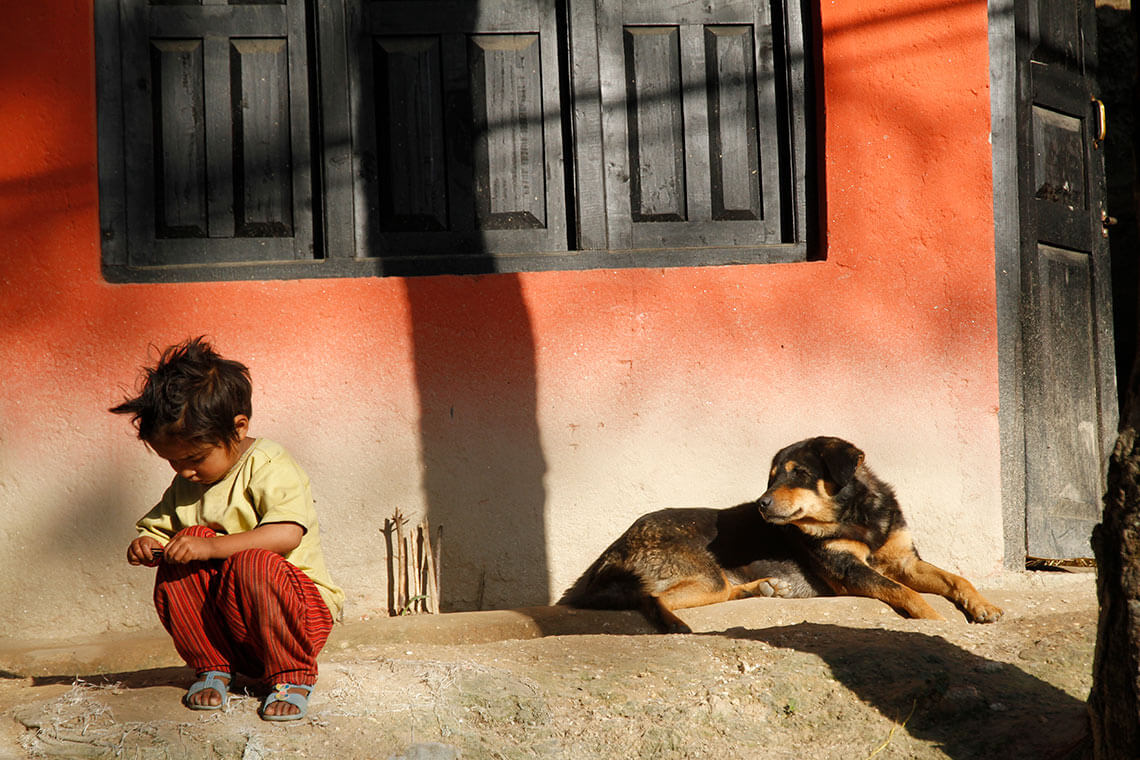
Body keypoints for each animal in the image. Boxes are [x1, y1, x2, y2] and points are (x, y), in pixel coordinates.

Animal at [556, 437, 1003, 633]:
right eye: (771, 478)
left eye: (798, 474)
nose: (761, 504)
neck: (856, 515)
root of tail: (612, 551)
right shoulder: (850, 571)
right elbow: (904, 592)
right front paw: (935, 621)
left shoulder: (905, 559)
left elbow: (957, 579)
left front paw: (983, 607)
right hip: (703, 576)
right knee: (654, 599)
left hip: (714, 583)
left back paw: (761, 588)